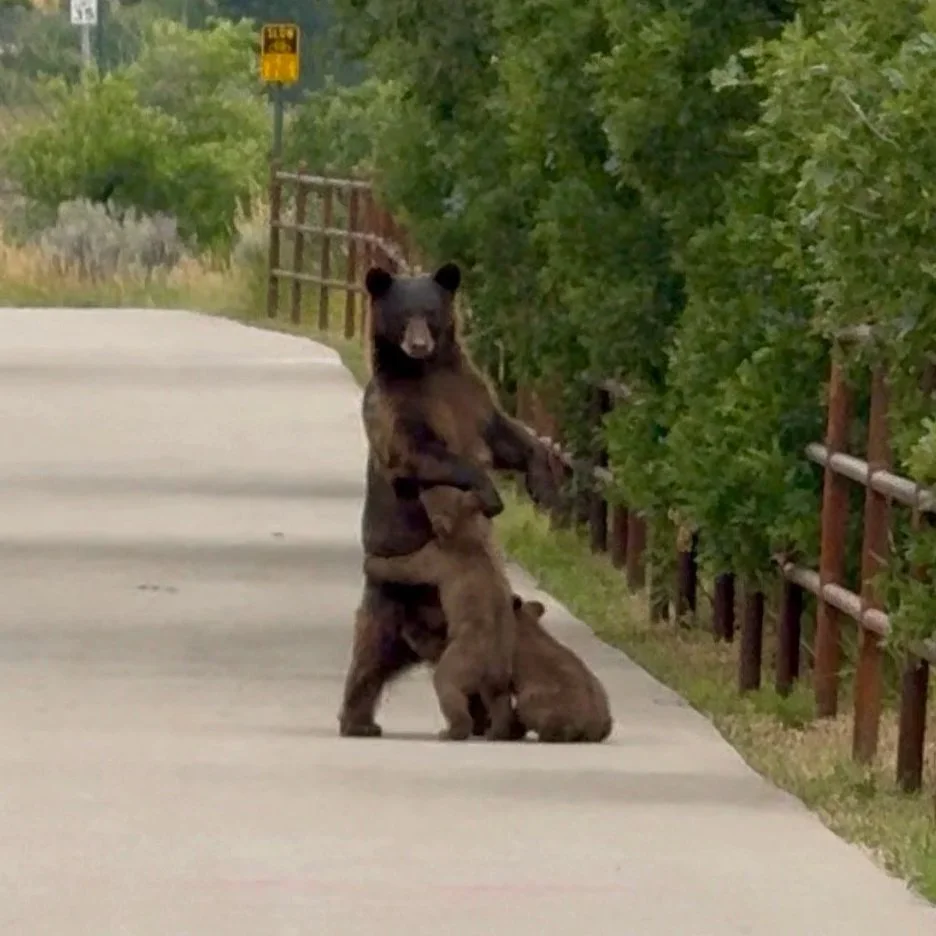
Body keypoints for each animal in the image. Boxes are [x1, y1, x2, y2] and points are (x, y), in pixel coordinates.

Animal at [362, 484, 518, 741]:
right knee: (498, 699)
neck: (464, 531)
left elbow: (405, 567)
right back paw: (499, 730)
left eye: (433, 494)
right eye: (445, 487)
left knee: (447, 685)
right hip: (500, 674)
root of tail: (491, 665)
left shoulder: (436, 557)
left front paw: (372, 561)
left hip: (462, 658)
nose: (422, 488)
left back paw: (453, 730)